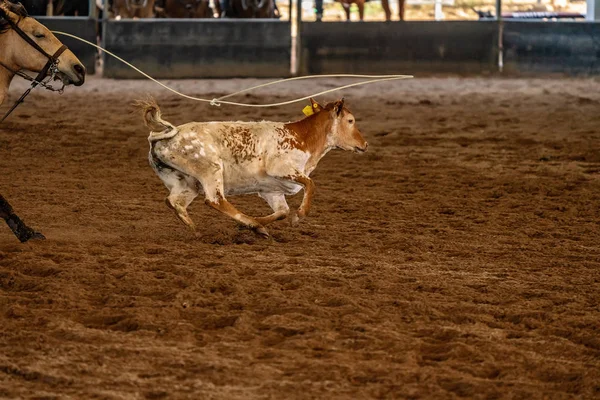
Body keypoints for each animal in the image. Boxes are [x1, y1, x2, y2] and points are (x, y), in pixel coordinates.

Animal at [139, 98, 368, 238]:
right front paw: (299, 215)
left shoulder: (271, 189)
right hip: (211, 170)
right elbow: (310, 185)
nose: (364, 144)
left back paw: (199, 231)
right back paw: (251, 224)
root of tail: (168, 135)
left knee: (174, 202)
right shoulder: (283, 170)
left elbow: (282, 211)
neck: (302, 138)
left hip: (186, 182)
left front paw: (257, 223)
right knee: (215, 200)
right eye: (350, 120)